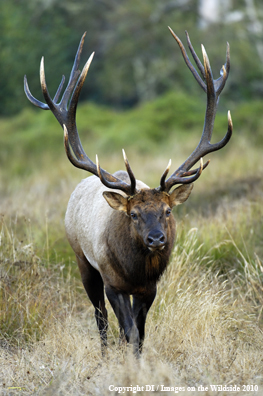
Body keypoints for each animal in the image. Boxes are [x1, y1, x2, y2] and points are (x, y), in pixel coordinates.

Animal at [23, 28, 232, 356]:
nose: (156, 239)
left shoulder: (150, 288)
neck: (136, 271)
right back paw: (104, 354)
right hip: (82, 260)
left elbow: (140, 333)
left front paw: (137, 360)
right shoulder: (112, 282)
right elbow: (127, 329)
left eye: (167, 210)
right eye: (133, 214)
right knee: (100, 318)